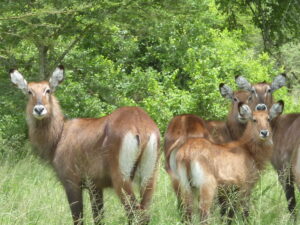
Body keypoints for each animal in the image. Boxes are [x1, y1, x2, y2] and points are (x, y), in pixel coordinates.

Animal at [9, 67, 161, 225]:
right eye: (29, 91)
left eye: (48, 90)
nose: (39, 109)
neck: (59, 136)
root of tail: (140, 123)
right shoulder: (95, 186)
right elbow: (98, 218)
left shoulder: (72, 182)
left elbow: (78, 218)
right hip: (150, 177)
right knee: (145, 213)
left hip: (122, 178)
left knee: (135, 213)